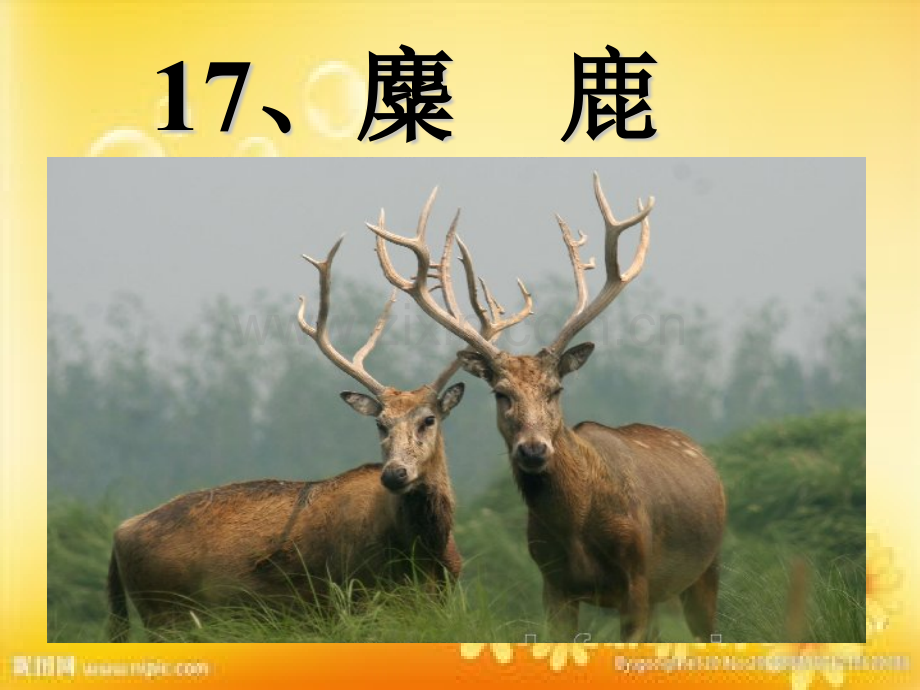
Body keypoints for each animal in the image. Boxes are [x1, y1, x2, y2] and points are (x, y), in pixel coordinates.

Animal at [106, 228, 532, 642]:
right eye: (380, 423)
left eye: (429, 419)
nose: (395, 474)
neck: (425, 553)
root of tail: (119, 534)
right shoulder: (356, 597)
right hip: (167, 613)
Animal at [367, 175, 726, 643]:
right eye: (501, 394)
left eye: (556, 389)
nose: (534, 449)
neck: (579, 530)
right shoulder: (553, 584)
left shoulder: (638, 579)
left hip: (707, 568)